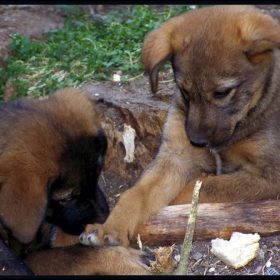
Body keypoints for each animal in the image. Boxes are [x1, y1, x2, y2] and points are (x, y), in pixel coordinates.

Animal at [80, 4, 280, 247]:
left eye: (222, 92)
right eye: (184, 90)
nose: (197, 141)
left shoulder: (269, 175)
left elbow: (196, 190)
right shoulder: (176, 155)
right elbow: (136, 193)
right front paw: (110, 226)